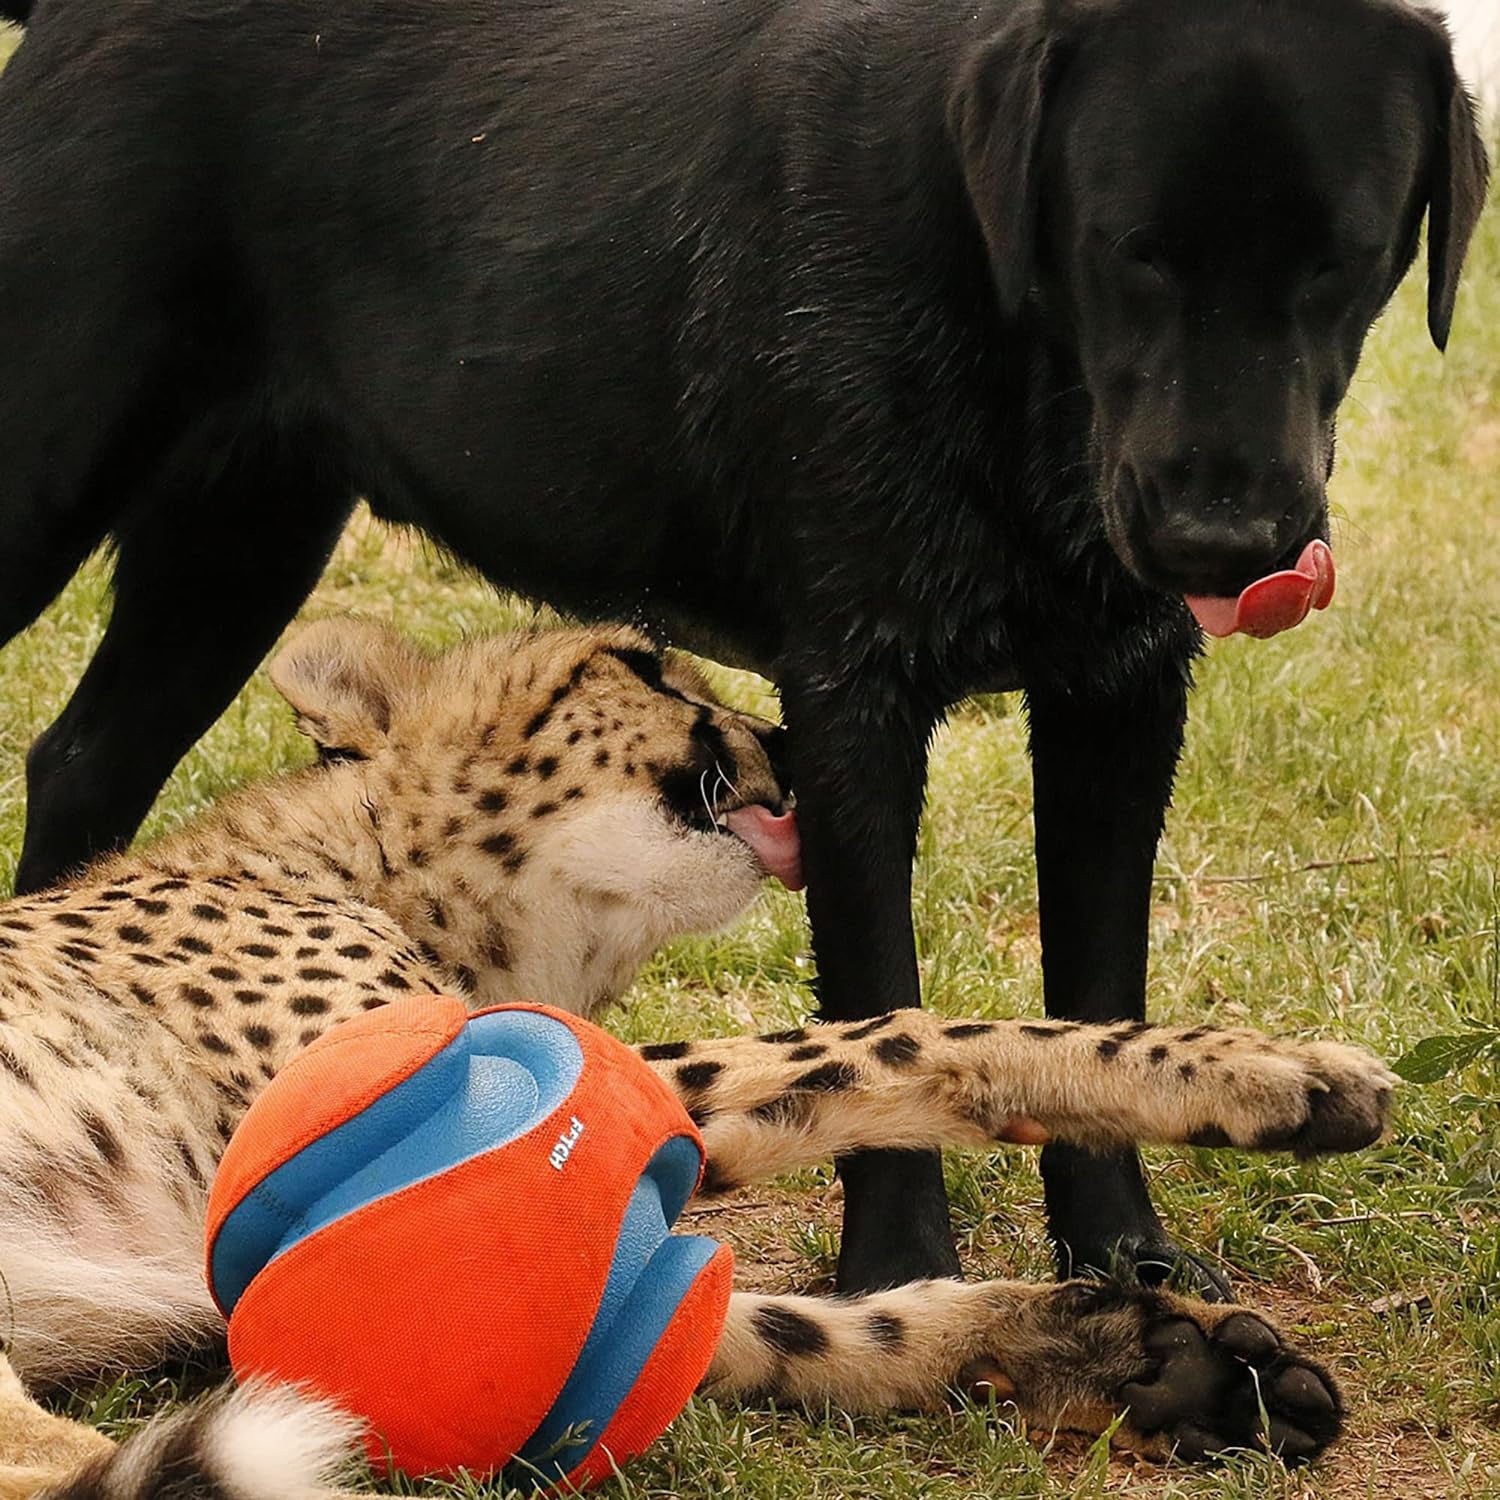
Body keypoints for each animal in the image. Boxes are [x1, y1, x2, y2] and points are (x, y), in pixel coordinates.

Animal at [0, 0, 1488, 1296]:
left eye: (1346, 258)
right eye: (1131, 247)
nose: (1223, 541)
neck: (1001, 326)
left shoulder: (1120, 693)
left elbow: (1095, 978)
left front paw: (1123, 1252)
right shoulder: (852, 699)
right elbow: (881, 1001)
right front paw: (903, 1266)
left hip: (240, 535)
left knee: (83, 758)